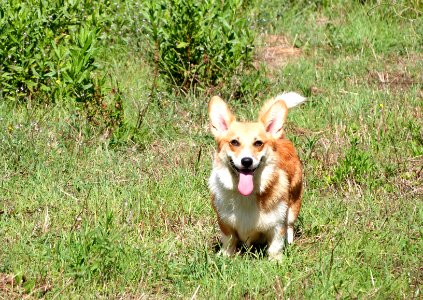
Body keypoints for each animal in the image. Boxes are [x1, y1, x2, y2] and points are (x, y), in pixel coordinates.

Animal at [208, 92, 304, 258]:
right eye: (234, 142)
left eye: (258, 143)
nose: (247, 161)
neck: (246, 196)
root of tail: (280, 138)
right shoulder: (225, 223)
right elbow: (229, 242)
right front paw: (225, 257)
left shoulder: (278, 225)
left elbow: (275, 246)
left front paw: (276, 260)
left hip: (293, 205)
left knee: (290, 226)